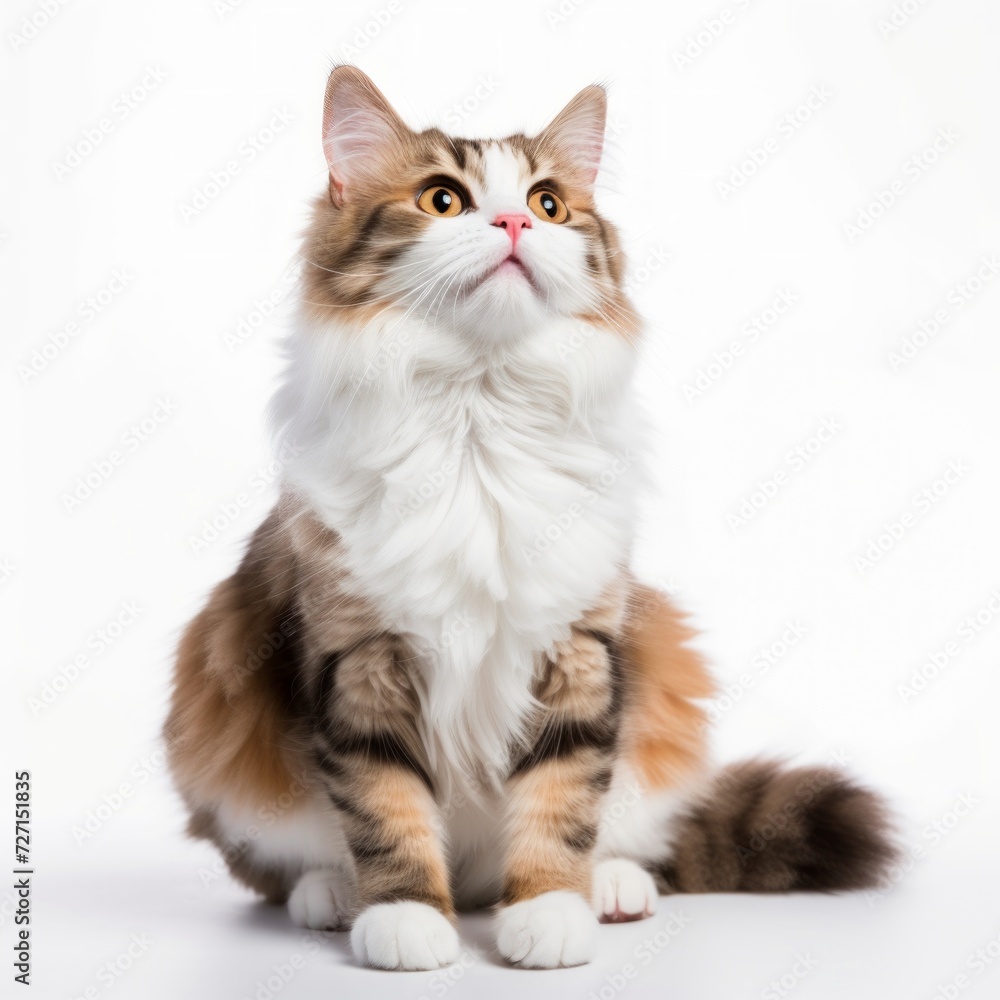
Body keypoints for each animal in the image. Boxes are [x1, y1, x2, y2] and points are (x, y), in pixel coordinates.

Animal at [166, 66, 900, 972]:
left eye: (549, 204)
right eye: (443, 199)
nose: (515, 221)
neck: (478, 408)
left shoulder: (579, 647)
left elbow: (563, 796)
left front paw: (551, 911)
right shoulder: (358, 658)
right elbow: (384, 805)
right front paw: (405, 917)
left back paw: (612, 887)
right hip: (211, 708)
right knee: (280, 869)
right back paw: (331, 896)